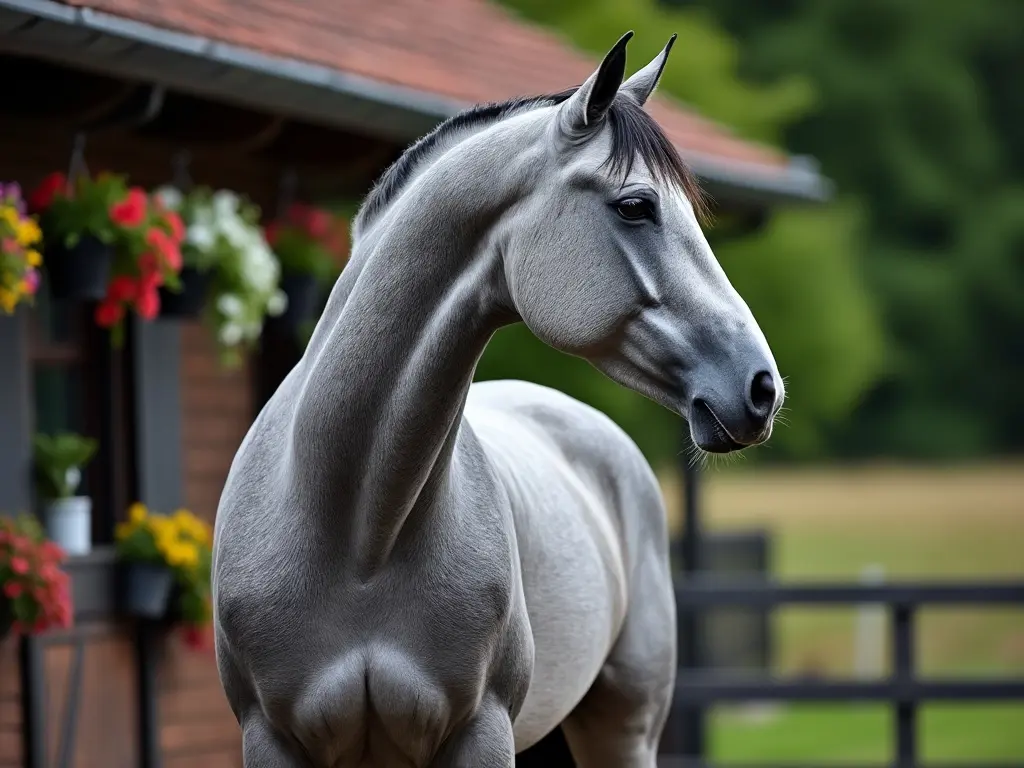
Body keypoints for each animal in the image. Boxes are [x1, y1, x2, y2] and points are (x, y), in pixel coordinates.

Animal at [209, 31, 782, 768]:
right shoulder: (272, 737)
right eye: (635, 205)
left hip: (622, 727)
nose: (762, 387)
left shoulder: (480, 731)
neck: (357, 531)